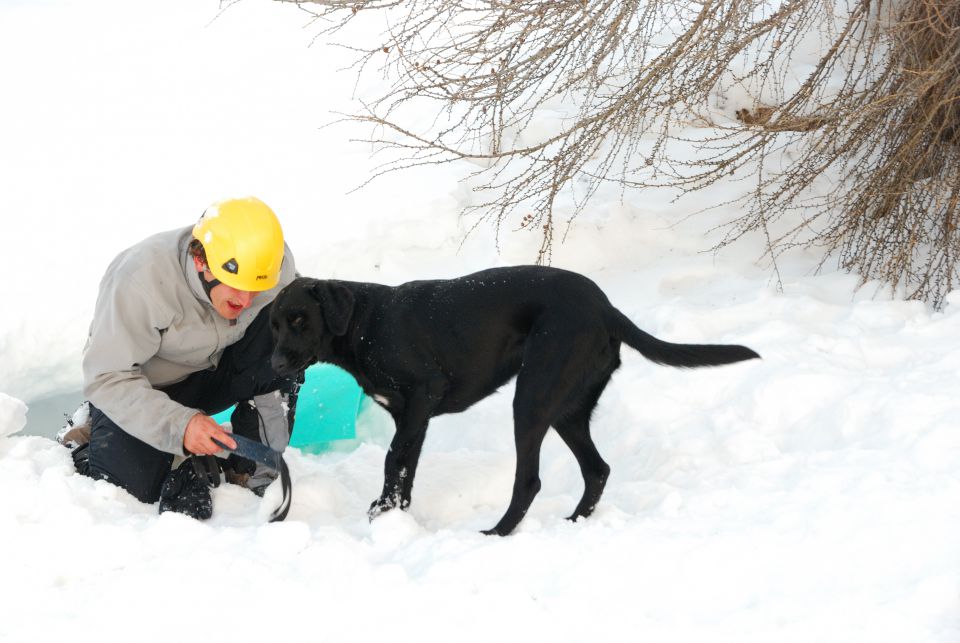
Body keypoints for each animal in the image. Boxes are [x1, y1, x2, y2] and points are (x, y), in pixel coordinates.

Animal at [268, 264, 756, 536]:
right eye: (274, 325)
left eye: (300, 320)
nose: (273, 363)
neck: (364, 325)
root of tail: (605, 308)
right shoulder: (413, 418)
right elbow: (405, 469)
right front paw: (393, 519)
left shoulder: (423, 395)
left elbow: (393, 461)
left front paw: (382, 514)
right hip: (568, 408)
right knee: (597, 469)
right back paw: (574, 523)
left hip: (533, 398)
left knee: (531, 480)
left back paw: (498, 533)